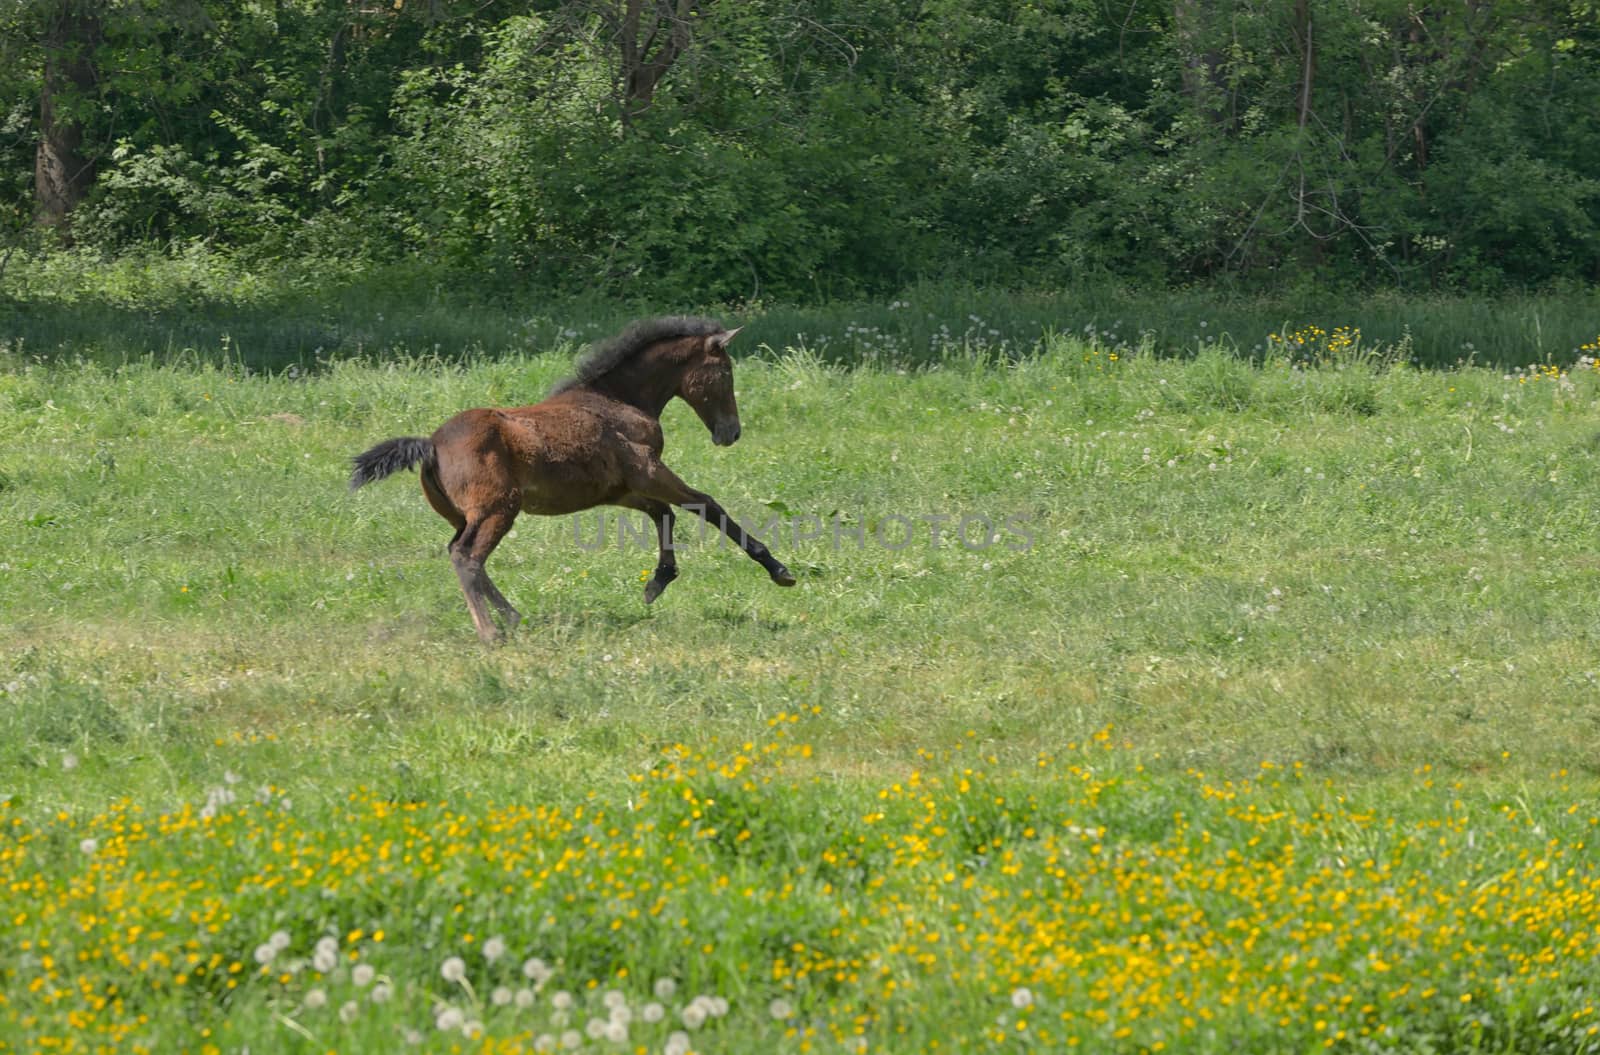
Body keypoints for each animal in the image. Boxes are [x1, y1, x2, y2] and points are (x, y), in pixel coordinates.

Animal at [353, 315, 796, 643]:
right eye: (726, 372)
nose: (731, 433)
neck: (618, 399)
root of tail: (430, 445)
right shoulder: (649, 470)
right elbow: (707, 505)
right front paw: (778, 569)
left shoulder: (620, 489)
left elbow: (663, 513)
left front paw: (657, 582)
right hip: (498, 509)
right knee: (467, 557)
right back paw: (492, 631)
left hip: (468, 515)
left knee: (458, 552)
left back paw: (512, 616)